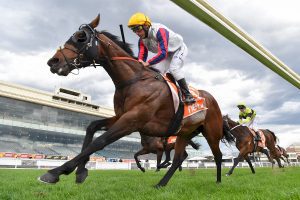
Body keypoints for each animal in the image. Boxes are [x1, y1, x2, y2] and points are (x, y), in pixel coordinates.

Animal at [38, 14, 234, 188]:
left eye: (81, 37)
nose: (53, 61)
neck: (132, 81)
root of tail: (213, 100)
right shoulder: (121, 116)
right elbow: (91, 127)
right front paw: (80, 172)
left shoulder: (132, 120)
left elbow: (99, 142)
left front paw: (55, 172)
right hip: (184, 133)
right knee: (179, 158)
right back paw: (160, 184)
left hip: (211, 132)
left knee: (217, 155)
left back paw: (218, 181)